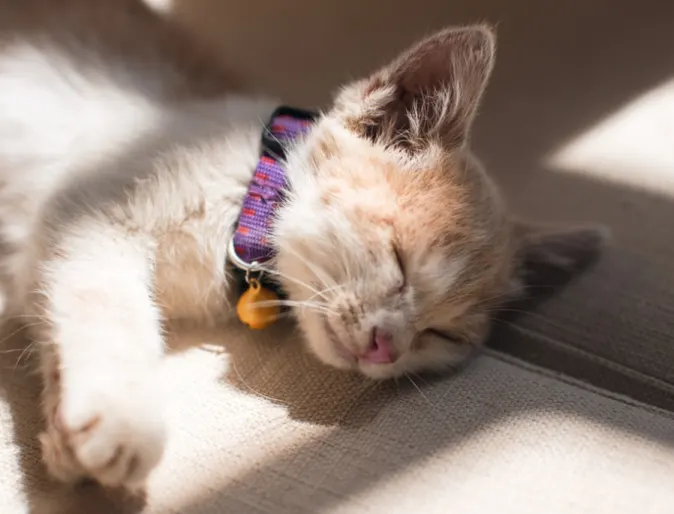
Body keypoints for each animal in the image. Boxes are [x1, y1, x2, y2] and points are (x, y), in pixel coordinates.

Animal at [0, 5, 600, 492]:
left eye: (443, 335)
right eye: (398, 260)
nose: (386, 347)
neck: (244, 194)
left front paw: (67, 440)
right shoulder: (86, 210)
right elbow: (107, 304)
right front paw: (123, 423)